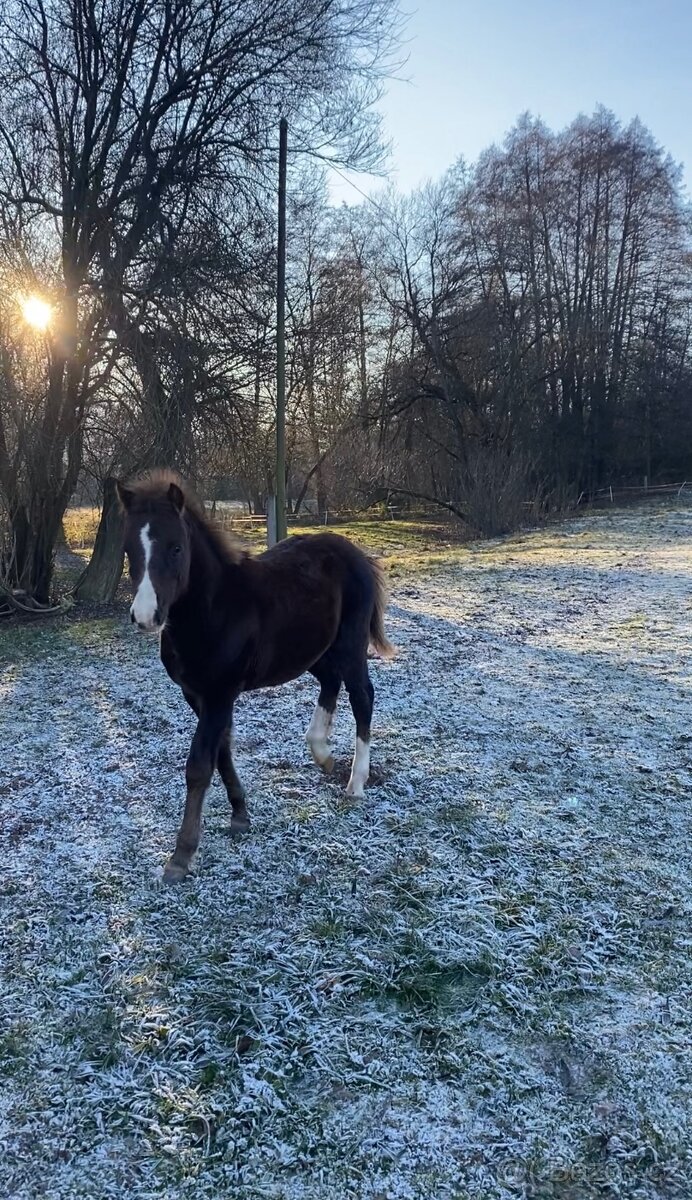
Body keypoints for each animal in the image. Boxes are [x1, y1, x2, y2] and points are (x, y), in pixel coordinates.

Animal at [116, 471, 395, 881]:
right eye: (128, 549)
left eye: (176, 548)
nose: (146, 616)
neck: (214, 610)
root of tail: (354, 552)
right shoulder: (197, 695)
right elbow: (222, 753)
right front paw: (240, 815)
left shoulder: (219, 694)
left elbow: (199, 766)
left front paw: (181, 855)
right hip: (311, 649)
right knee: (330, 682)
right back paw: (322, 754)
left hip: (349, 644)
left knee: (362, 695)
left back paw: (355, 783)